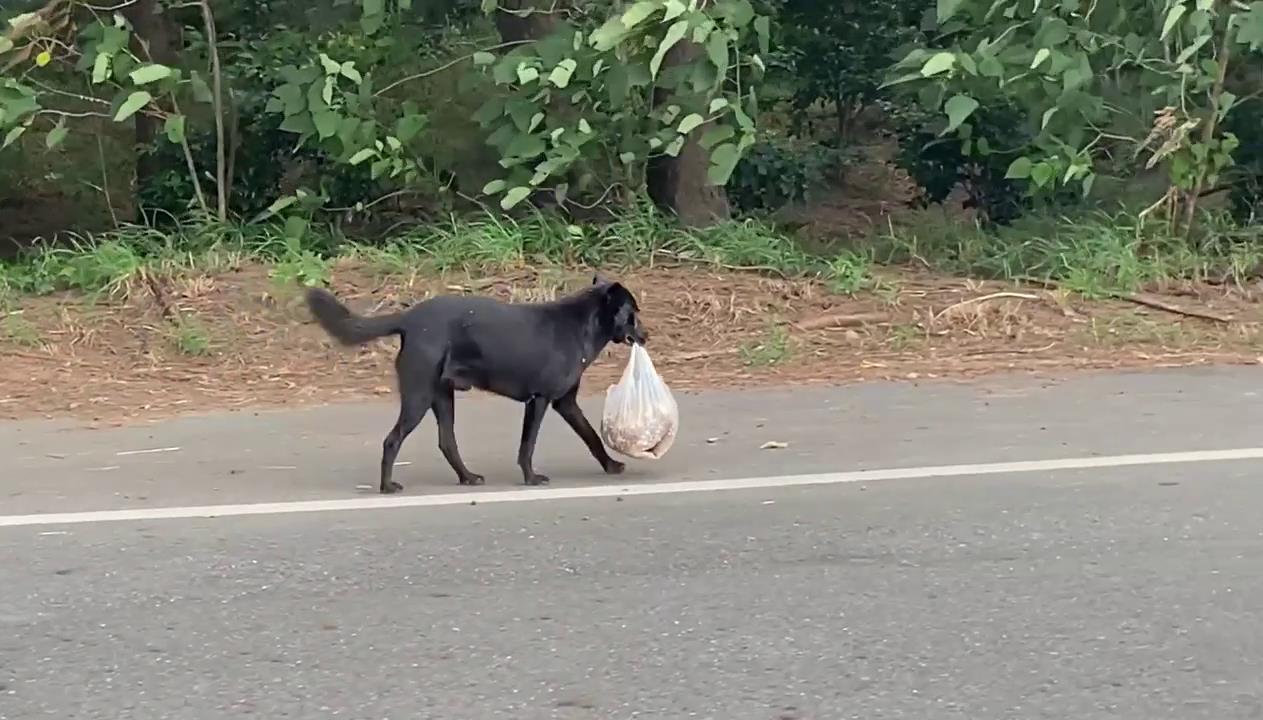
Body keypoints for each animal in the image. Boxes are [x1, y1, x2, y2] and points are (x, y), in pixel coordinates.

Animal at [301, 276, 646, 492]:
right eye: (633, 313)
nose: (647, 335)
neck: (583, 324)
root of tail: (409, 319)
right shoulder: (539, 400)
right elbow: (528, 445)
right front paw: (531, 477)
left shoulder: (566, 402)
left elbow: (591, 437)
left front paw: (611, 465)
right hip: (419, 395)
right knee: (392, 440)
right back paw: (387, 487)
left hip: (442, 395)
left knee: (447, 441)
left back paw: (467, 477)